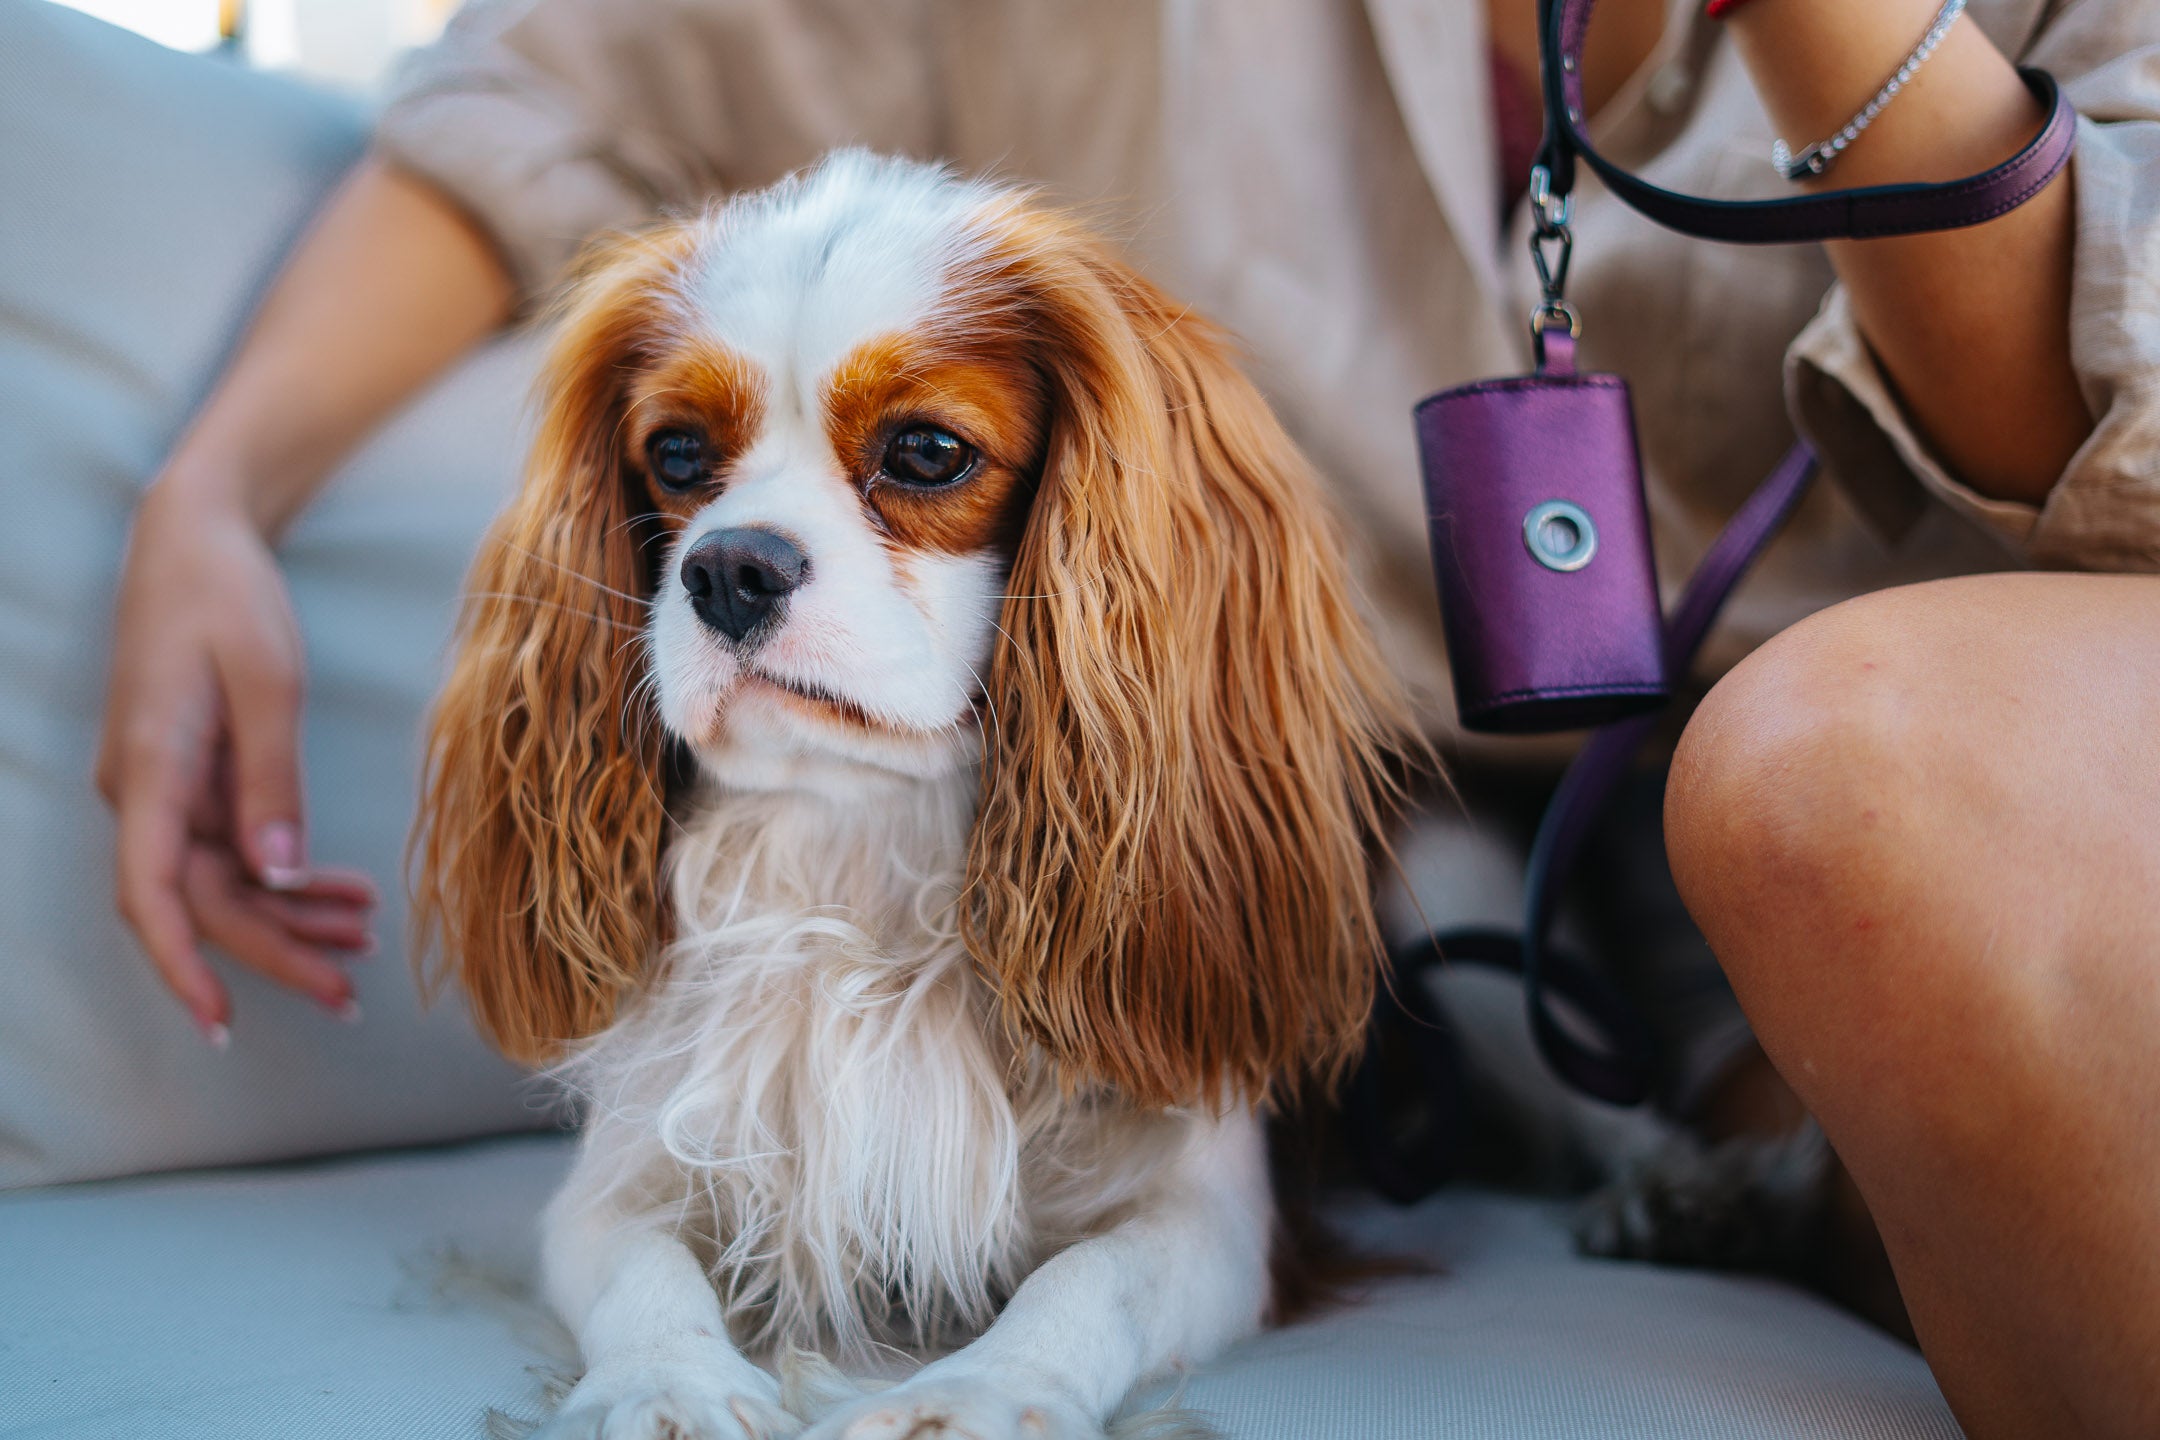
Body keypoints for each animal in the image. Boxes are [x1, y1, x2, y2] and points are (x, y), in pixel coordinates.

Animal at [412, 155, 1416, 1440]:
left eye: (928, 451)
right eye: (677, 455)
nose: (727, 566)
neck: (860, 846)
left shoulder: (1215, 1214)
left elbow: (1087, 1279)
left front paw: (978, 1394)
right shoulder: (628, 1173)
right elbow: (640, 1268)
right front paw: (664, 1390)